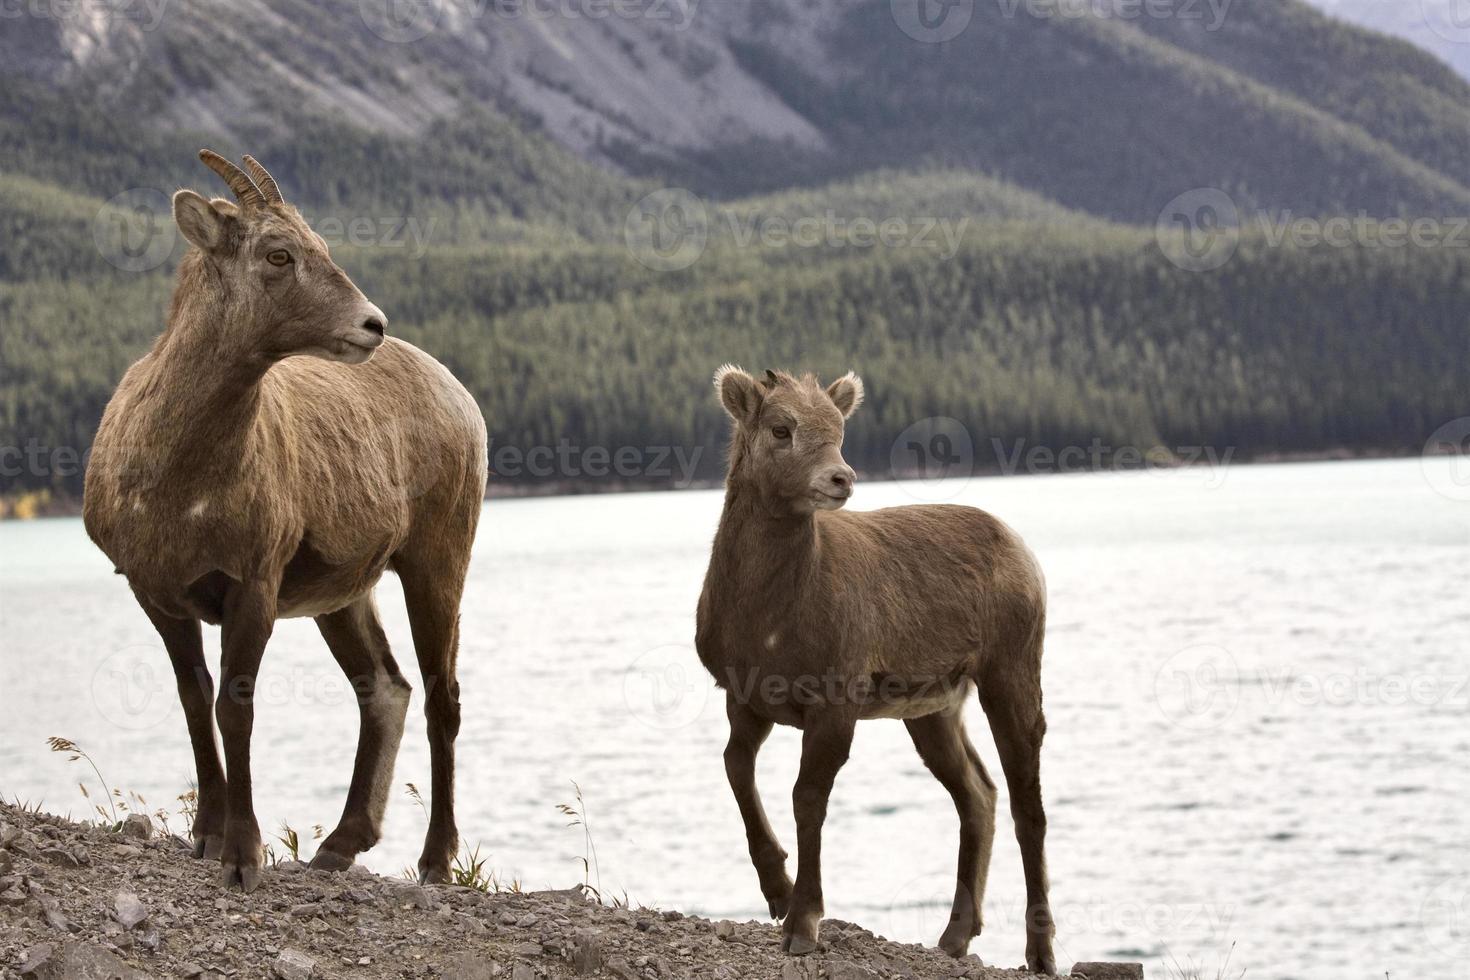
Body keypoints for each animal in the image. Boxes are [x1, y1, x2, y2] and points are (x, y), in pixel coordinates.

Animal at [693, 367, 1052, 975]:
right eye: (781, 428)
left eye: (839, 430)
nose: (841, 478)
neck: (767, 621)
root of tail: (1026, 556)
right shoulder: (744, 698)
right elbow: (736, 768)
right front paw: (776, 891)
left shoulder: (835, 702)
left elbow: (807, 800)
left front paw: (802, 924)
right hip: (934, 709)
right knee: (978, 794)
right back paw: (955, 936)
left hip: (1011, 673)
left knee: (1028, 805)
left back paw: (1041, 952)